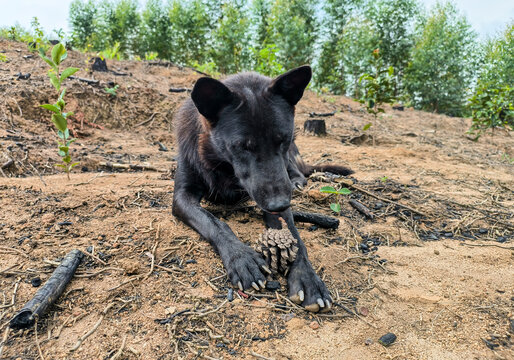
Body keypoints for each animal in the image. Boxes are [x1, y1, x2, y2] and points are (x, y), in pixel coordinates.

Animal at [172, 65, 352, 312]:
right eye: (242, 146)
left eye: (282, 139)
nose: (280, 204)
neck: (224, 167)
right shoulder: (182, 196)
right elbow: (214, 222)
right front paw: (242, 258)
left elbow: (294, 236)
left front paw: (307, 277)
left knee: (296, 169)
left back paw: (298, 180)